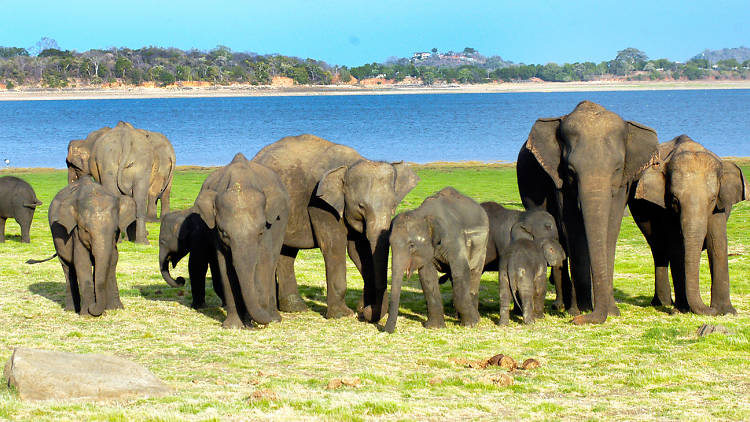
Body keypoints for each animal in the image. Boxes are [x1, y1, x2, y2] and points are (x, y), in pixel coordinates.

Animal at [251, 134, 418, 320]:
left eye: (394, 205)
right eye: (361, 206)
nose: (366, 311)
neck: (352, 163)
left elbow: (359, 252)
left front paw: (361, 309)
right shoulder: (320, 204)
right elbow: (334, 246)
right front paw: (342, 315)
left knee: (286, 253)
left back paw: (296, 308)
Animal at [384, 188, 490, 332]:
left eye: (411, 245)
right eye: (389, 244)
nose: (386, 330)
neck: (423, 214)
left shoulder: (454, 239)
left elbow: (461, 271)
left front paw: (471, 324)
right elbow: (427, 276)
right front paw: (435, 327)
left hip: (483, 246)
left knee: (474, 273)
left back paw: (473, 318)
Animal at [520, 100, 660, 324]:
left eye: (617, 169)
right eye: (570, 171)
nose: (578, 321)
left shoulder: (624, 184)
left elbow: (611, 229)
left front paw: (612, 312)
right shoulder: (559, 181)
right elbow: (571, 227)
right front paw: (578, 311)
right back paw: (562, 306)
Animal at [628, 134, 748, 314]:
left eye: (712, 199)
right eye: (674, 199)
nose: (710, 309)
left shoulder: (720, 207)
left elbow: (717, 244)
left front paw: (726, 312)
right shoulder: (664, 208)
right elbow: (677, 247)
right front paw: (683, 310)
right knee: (659, 250)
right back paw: (662, 304)